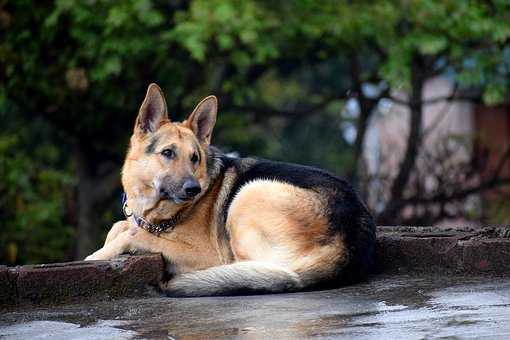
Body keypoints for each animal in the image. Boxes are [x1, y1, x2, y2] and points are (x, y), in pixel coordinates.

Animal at [85, 83, 376, 296]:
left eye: (195, 158)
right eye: (168, 153)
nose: (193, 189)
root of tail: (350, 244)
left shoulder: (205, 252)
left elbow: (135, 236)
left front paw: (96, 256)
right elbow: (122, 227)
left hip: (249, 194)